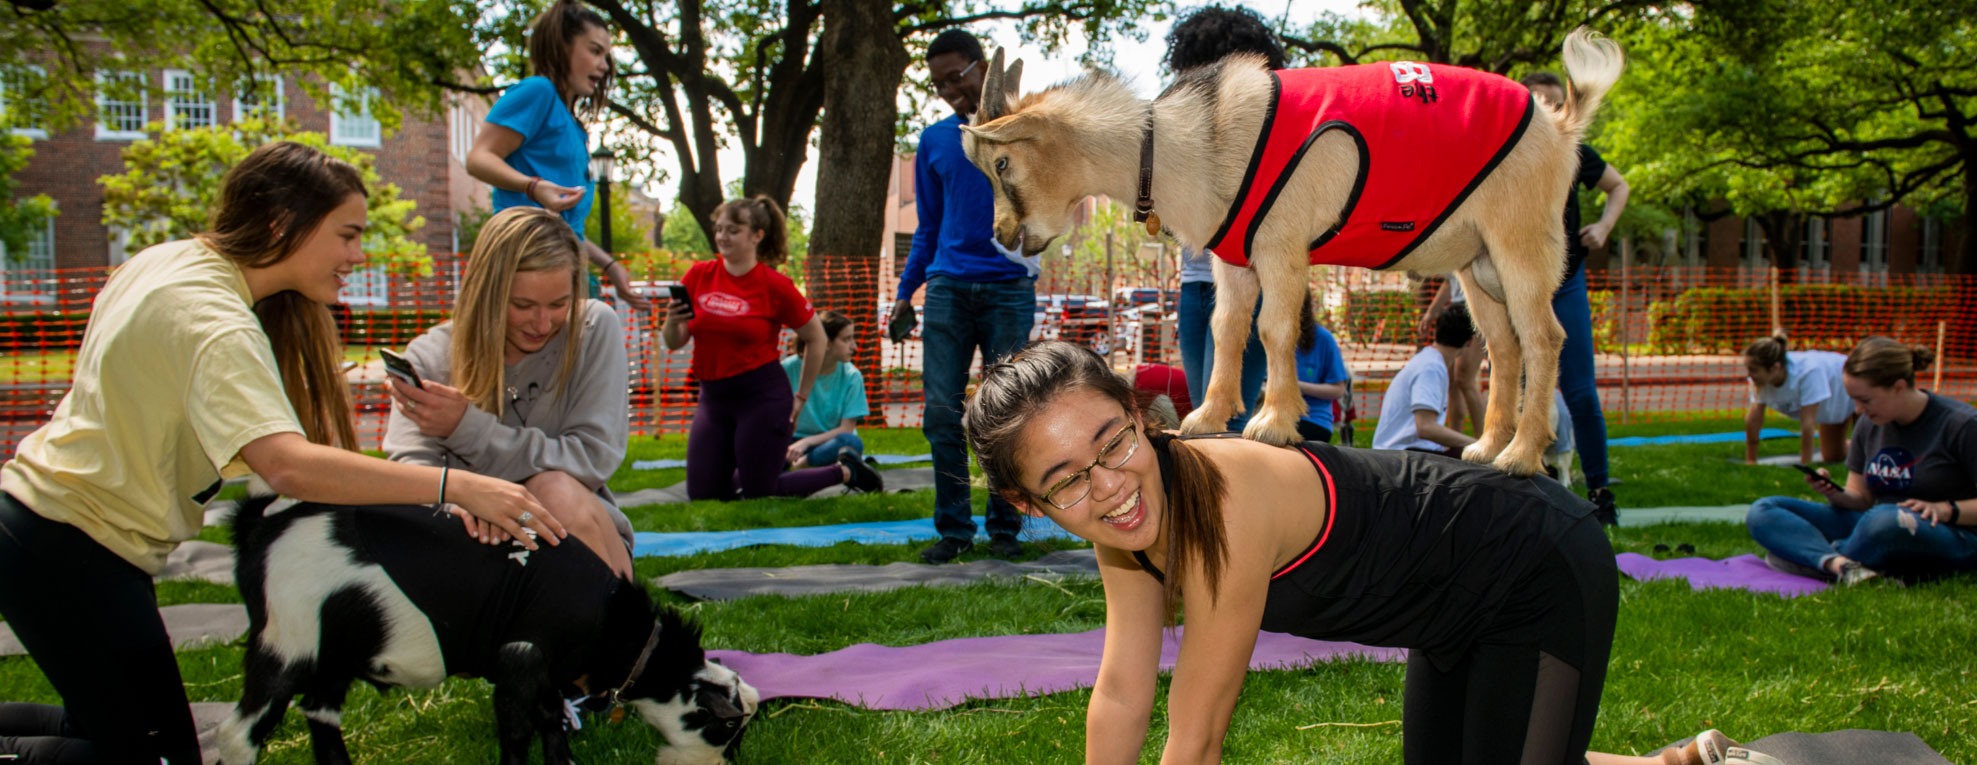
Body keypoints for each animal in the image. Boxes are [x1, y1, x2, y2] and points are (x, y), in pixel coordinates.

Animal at [214, 498, 755, 765]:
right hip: (287, 643)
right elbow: (517, 733)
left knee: (320, 714)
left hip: (335, 654)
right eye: (724, 727)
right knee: (238, 735)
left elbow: (552, 723)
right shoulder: (519, 659)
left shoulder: (548, 673)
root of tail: (258, 530)